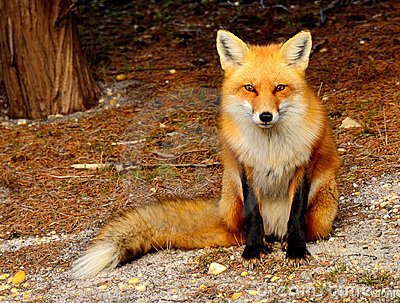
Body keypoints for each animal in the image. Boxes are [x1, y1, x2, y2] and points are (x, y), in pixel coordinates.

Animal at [73, 30, 340, 278]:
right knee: (243, 232)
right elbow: (254, 216)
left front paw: (296, 250)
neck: (269, 147)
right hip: (234, 199)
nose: (265, 116)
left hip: (321, 213)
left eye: (280, 88)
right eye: (250, 88)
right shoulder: (245, 166)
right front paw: (253, 250)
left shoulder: (303, 165)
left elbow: (295, 215)